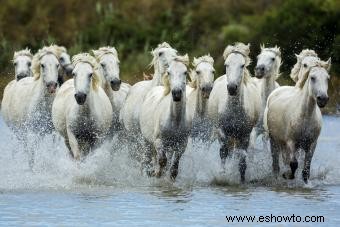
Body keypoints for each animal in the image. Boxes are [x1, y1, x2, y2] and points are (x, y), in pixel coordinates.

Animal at [207, 43, 260, 183]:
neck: (234, 110)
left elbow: (242, 160)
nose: (231, 88)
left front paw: (242, 179)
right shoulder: (222, 131)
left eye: (242, 65)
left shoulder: (245, 134)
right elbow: (224, 152)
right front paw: (222, 175)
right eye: (226, 64)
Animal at [264, 49, 330, 183]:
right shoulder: (291, 142)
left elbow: (306, 170)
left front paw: (305, 183)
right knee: (276, 164)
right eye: (312, 78)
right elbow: (293, 164)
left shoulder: (311, 144)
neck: (305, 115)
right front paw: (287, 175)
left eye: (327, 78)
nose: (323, 99)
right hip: (274, 140)